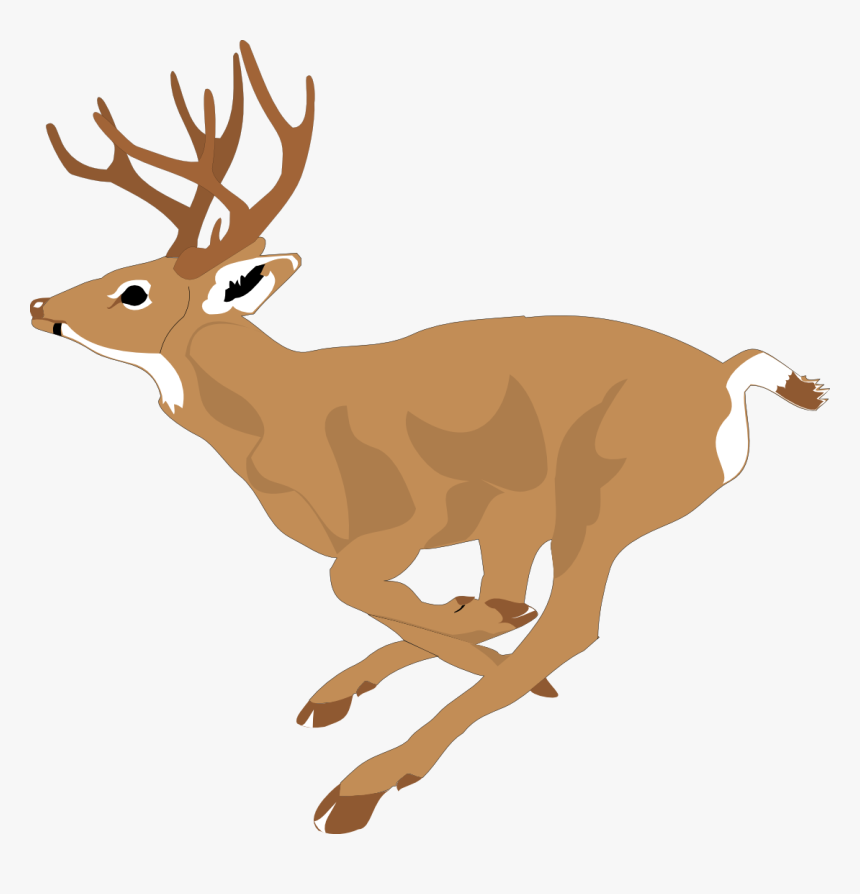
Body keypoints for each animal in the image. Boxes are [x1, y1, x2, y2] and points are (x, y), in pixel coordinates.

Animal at [29, 42, 828, 835]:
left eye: (135, 291)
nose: (38, 305)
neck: (279, 417)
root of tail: (726, 378)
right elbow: (417, 601)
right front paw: (442, 626)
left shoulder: (411, 511)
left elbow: (353, 583)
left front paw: (449, 639)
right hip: (531, 512)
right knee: (520, 607)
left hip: (605, 493)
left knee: (568, 624)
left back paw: (366, 783)